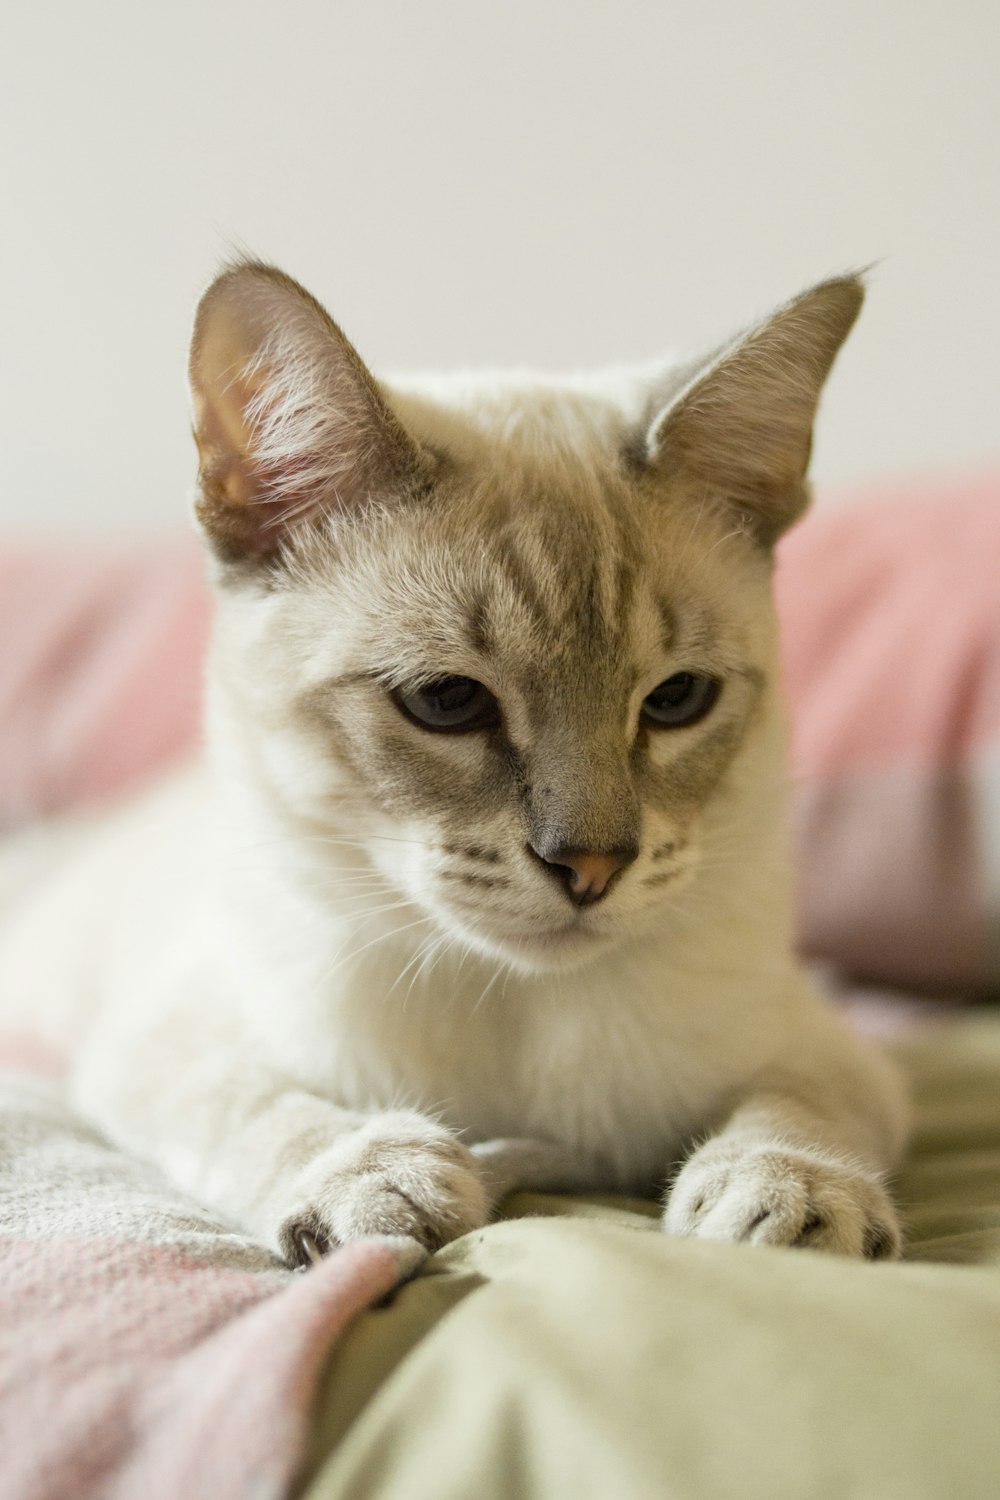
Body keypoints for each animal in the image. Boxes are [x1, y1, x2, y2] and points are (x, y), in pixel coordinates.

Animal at [0, 261, 905, 1266]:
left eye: (676, 700)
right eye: (445, 702)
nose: (592, 867)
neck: (515, 1012)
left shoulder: (835, 1049)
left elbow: (794, 1110)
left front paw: (789, 1198)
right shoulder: (158, 1049)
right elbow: (257, 1109)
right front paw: (376, 1178)